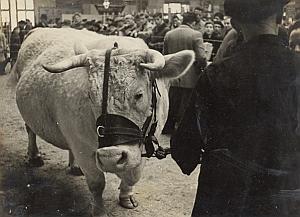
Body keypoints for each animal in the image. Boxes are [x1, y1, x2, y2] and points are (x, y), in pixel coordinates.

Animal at [15, 28, 195, 217]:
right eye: (90, 96)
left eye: (139, 94)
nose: (111, 157)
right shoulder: (82, 145)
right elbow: (96, 183)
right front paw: (99, 210)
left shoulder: (147, 141)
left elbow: (134, 174)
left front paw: (126, 196)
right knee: (30, 131)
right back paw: (34, 156)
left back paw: (75, 166)